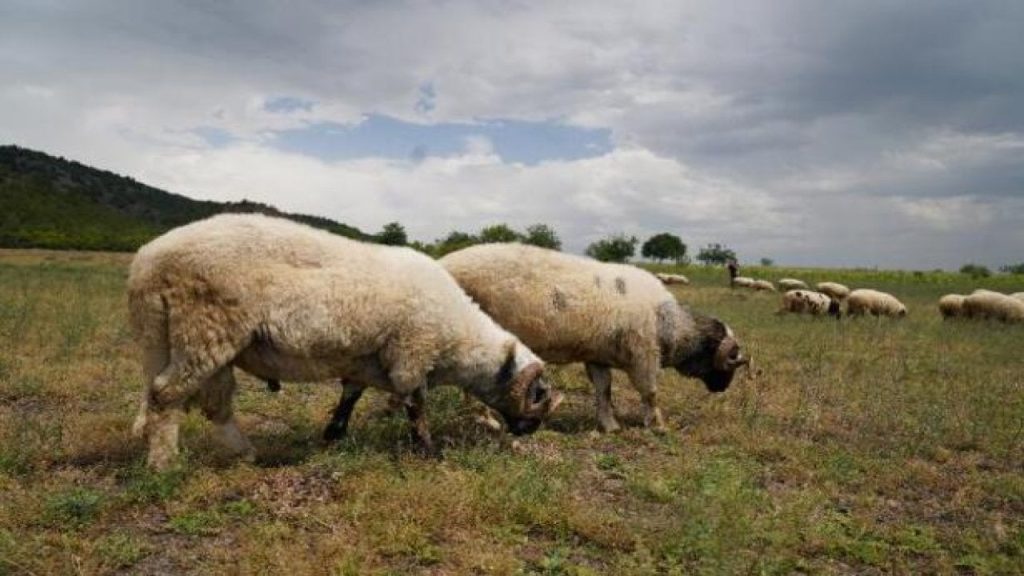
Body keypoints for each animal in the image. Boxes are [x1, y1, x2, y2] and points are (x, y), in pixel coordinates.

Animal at [129, 213, 565, 469]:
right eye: (537, 395)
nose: (528, 431)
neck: (458, 341)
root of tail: (146, 264)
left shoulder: (365, 361)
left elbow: (349, 397)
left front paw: (333, 436)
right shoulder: (411, 354)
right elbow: (416, 406)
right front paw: (427, 451)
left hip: (180, 340)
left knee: (209, 404)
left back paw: (246, 454)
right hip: (205, 328)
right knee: (166, 395)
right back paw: (164, 465)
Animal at [436, 241, 749, 430]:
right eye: (731, 359)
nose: (721, 389)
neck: (669, 325)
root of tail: (443, 264)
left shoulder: (598, 357)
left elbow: (604, 390)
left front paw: (609, 426)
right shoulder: (644, 357)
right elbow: (650, 392)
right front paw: (658, 426)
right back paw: (485, 419)